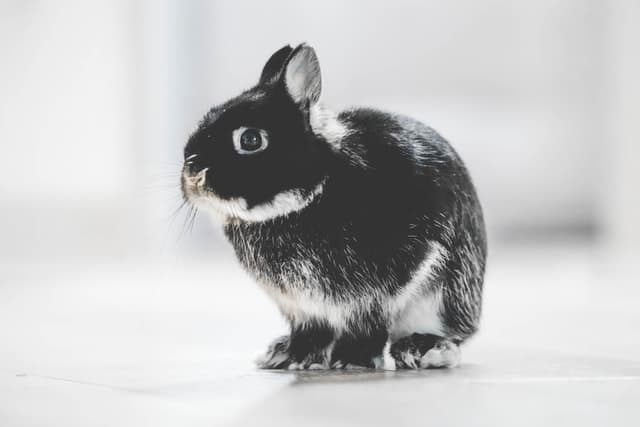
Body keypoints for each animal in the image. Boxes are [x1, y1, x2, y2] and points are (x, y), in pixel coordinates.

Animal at [181, 43, 487, 370]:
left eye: (250, 139)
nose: (193, 173)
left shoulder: (379, 290)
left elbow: (367, 324)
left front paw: (352, 361)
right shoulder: (302, 308)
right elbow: (311, 332)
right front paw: (297, 358)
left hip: (445, 297)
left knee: (450, 337)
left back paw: (422, 350)